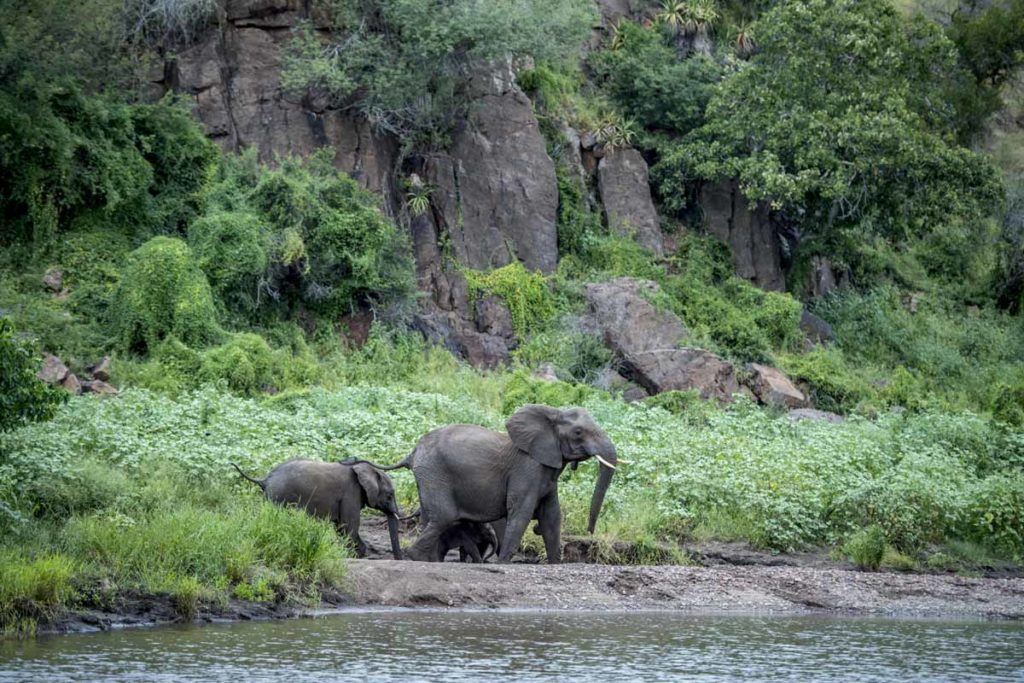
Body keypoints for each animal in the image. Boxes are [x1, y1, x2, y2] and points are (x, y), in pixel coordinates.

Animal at [232, 458, 403, 561]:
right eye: (390, 495)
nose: (399, 559)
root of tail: (265, 479)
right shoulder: (351, 493)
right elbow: (348, 527)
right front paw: (355, 554)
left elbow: (341, 527)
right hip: (279, 496)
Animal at [360, 405, 614, 561]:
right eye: (578, 432)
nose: (590, 533)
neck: (551, 414)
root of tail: (412, 453)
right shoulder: (527, 469)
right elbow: (520, 513)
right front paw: (502, 564)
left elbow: (552, 517)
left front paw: (554, 564)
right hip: (435, 472)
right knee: (443, 516)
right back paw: (415, 556)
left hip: (428, 476)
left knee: (430, 517)